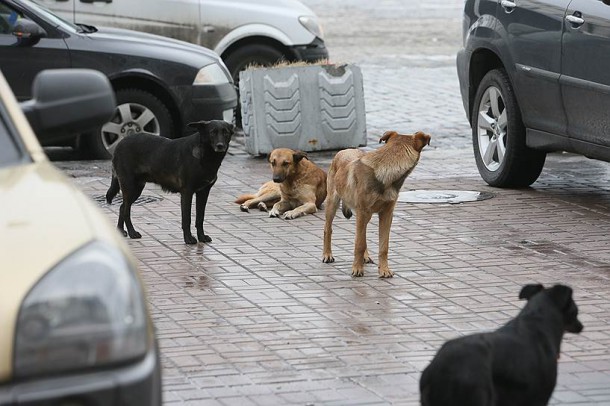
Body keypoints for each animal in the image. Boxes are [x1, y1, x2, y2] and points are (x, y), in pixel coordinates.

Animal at [105, 119, 233, 243]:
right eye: (212, 132)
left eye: (225, 132)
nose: (220, 146)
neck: (205, 155)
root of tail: (120, 144)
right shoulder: (187, 192)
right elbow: (186, 219)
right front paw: (188, 239)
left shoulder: (203, 192)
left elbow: (200, 218)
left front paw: (201, 237)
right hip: (130, 186)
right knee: (126, 211)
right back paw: (132, 233)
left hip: (136, 189)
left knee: (122, 207)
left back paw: (120, 231)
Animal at [324, 132, 428, 278]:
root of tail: (345, 150)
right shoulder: (362, 212)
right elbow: (359, 244)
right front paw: (357, 269)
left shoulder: (386, 214)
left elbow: (383, 246)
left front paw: (384, 270)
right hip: (333, 203)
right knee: (328, 229)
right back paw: (327, 255)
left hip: (365, 216)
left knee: (362, 235)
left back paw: (365, 257)